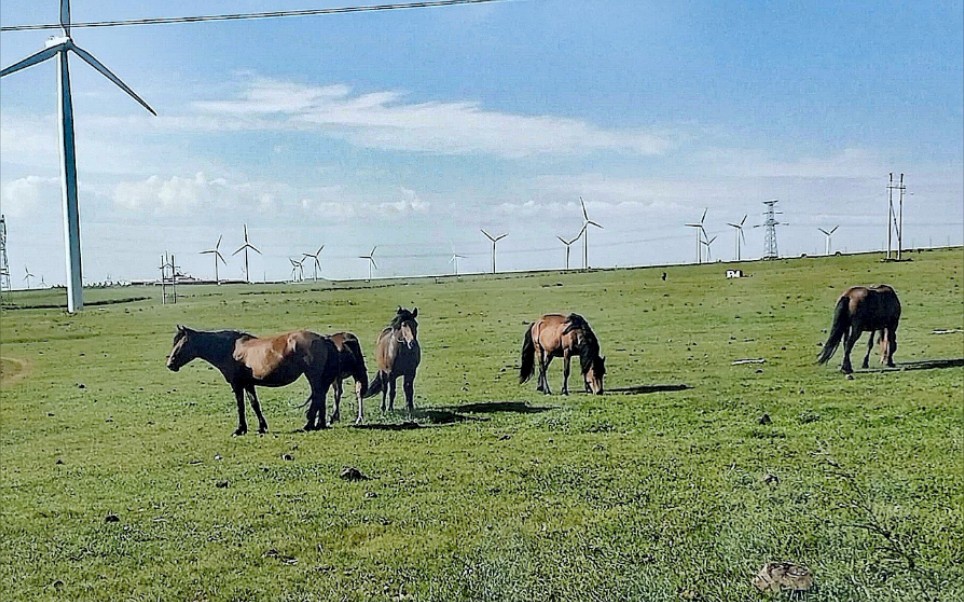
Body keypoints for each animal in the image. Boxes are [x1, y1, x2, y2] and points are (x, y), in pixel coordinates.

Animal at [168, 326, 340, 434]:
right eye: (174, 342)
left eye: (182, 343)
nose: (170, 364)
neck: (230, 349)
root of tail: (323, 338)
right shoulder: (248, 384)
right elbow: (254, 404)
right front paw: (261, 427)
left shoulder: (237, 385)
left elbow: (241, 406)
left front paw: (240, 429)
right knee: (320, 397)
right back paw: (319, 424)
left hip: (313, 376)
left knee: (318, 396)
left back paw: (310, 425)